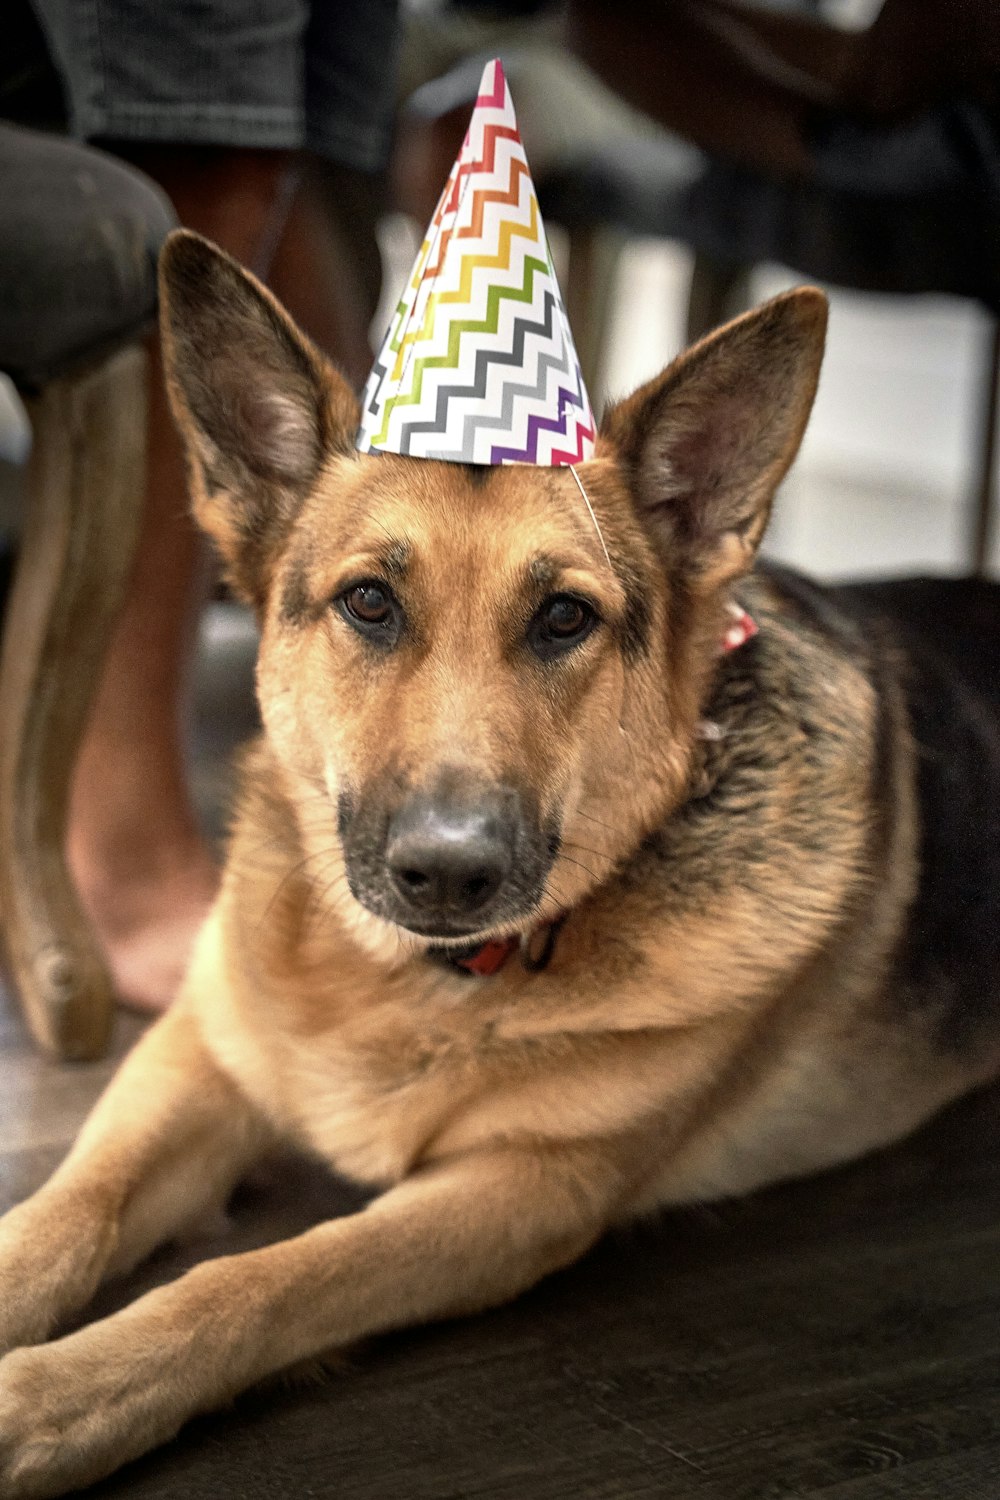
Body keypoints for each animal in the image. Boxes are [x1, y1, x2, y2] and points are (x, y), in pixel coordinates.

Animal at [1, 228, 1000, 1494]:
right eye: (369, 603)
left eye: (564, 619)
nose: (447, 874)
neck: (403, 980)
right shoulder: (194, 1059)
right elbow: (67, 1208)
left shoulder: (520, 1192)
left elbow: (257, 1278)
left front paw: (49, 1400)